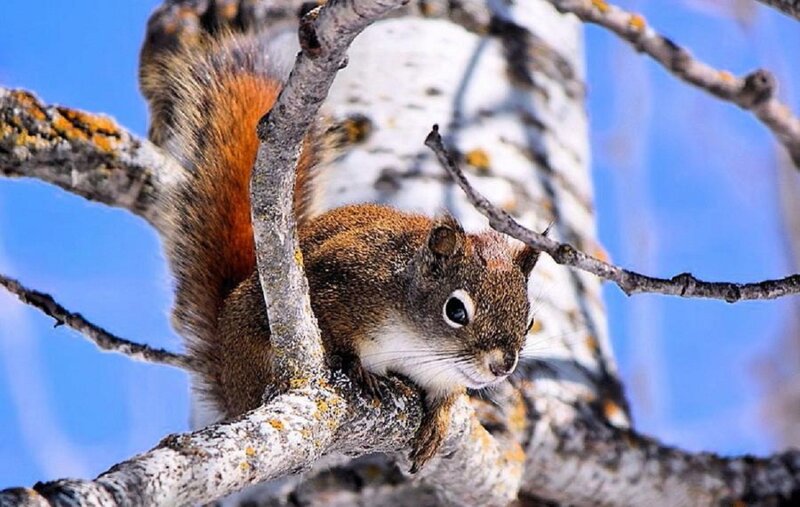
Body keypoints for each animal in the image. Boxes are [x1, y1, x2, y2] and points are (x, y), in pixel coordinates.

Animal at [140, 15, 539, 472]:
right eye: (455, 311)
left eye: (529, 319)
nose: (502, 366)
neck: (416, 339)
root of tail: (231, 386)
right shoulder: (345, 281)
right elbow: (336, 334)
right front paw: (356, 367)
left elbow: (446, 396)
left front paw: (438, 418)